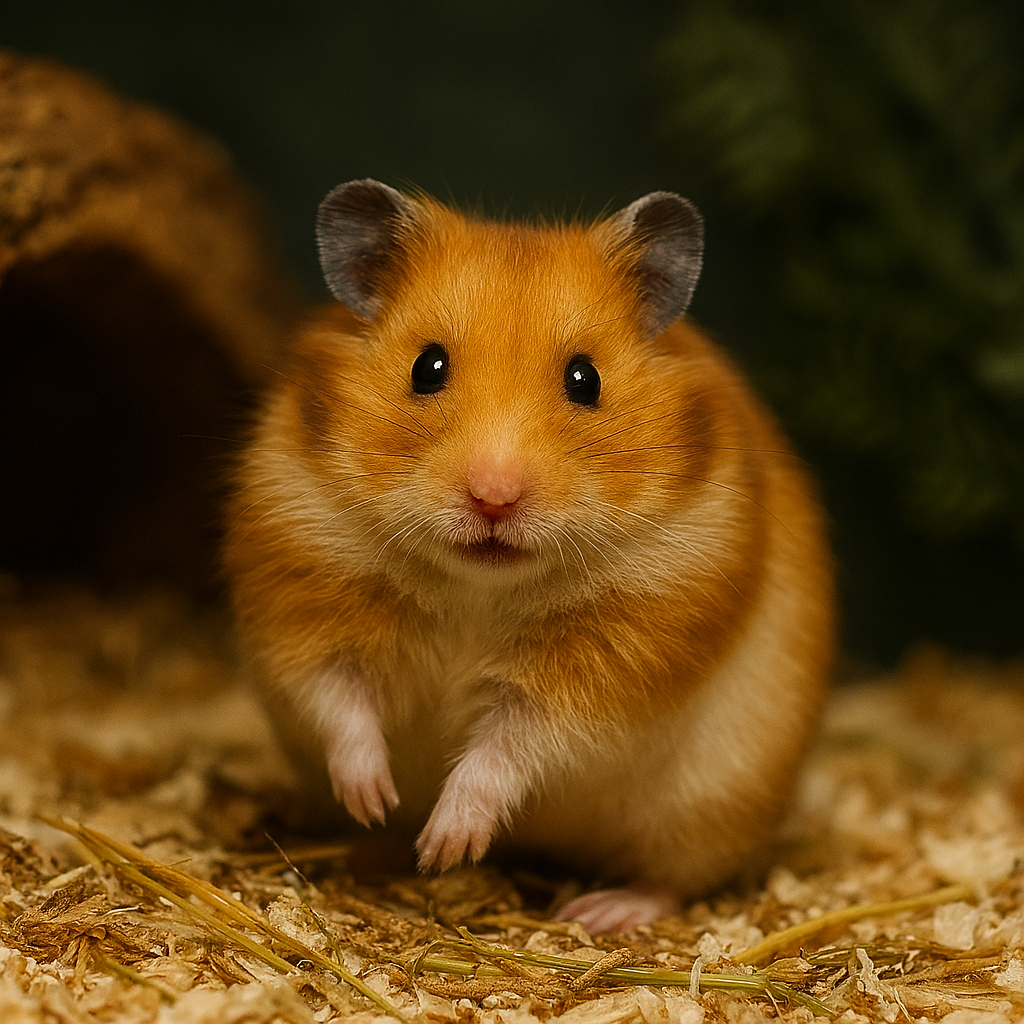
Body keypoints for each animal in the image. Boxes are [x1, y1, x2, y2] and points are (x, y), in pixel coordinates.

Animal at [223, 179, 834, 932]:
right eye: (427, 367)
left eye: (585, 379)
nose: (494, 498)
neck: (477, 586)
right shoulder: (302, 583)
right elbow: (341, 701)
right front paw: (377, 801)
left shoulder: (611, 664)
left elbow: (512, 746)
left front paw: (446, 843)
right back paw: (379, 847)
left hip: (714, 803)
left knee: (672, 879)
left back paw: (598, 911)